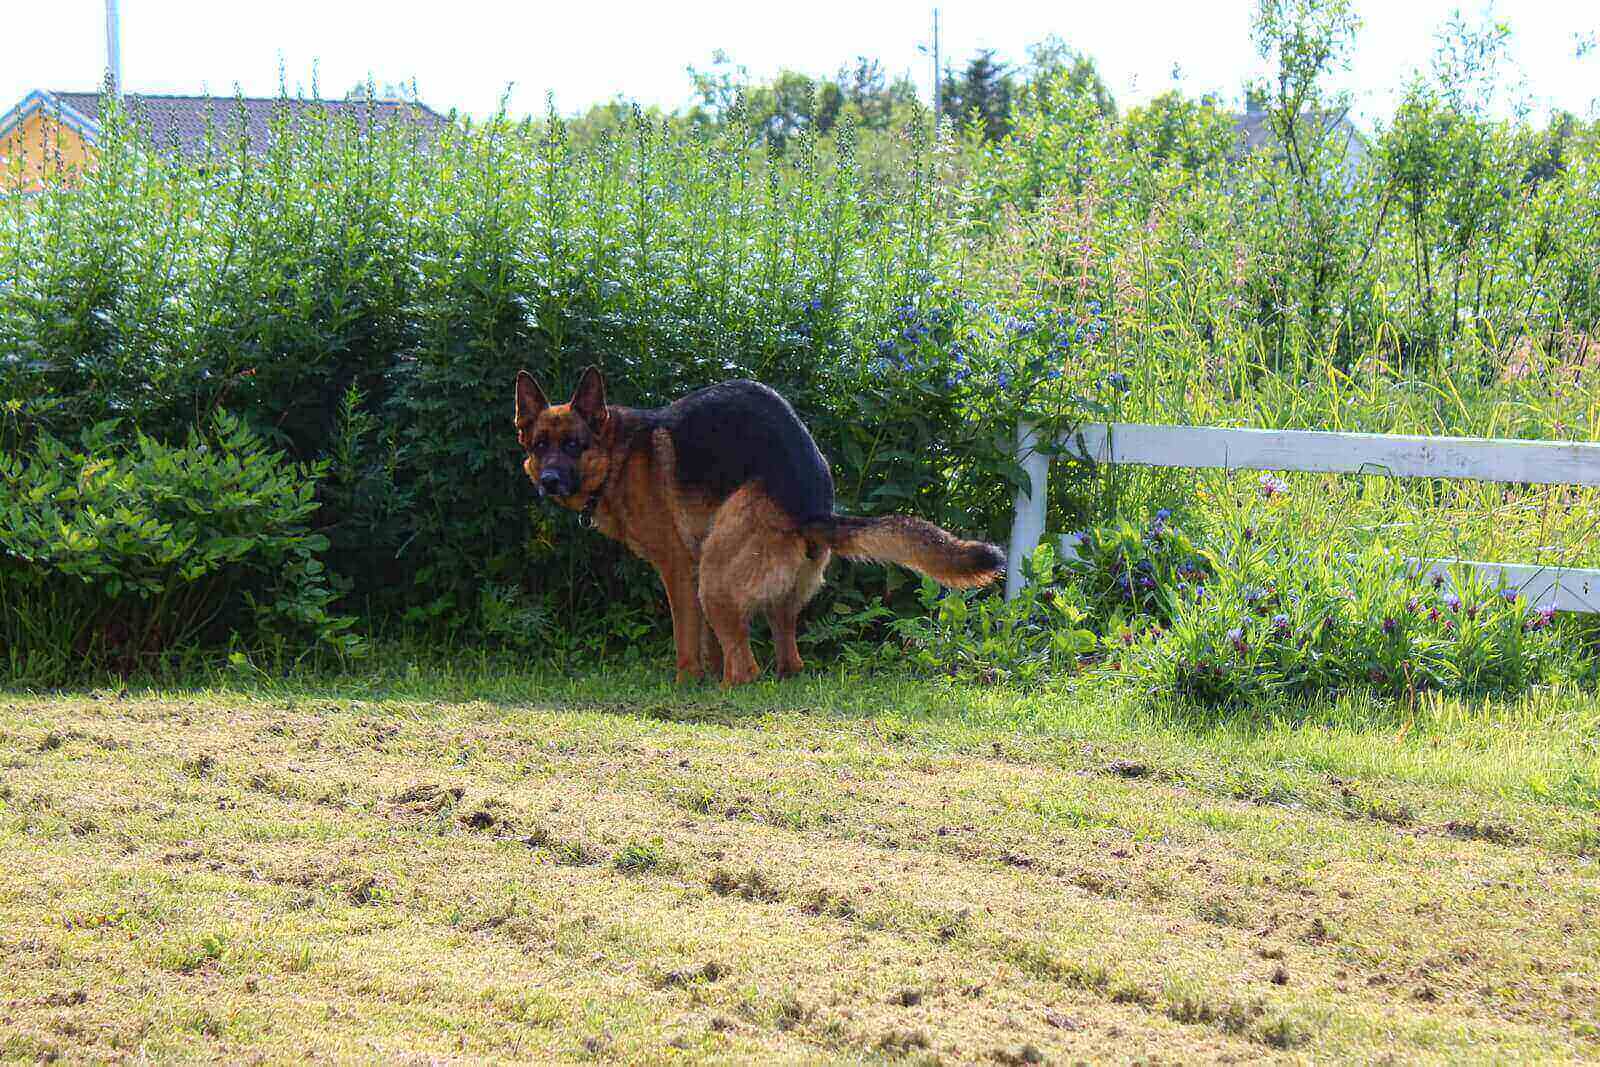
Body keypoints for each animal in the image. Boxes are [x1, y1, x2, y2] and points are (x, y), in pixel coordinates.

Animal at [518, 364, 1004, 684]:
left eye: (574, 445)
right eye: (540, 446)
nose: (549, 481)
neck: (618, 454)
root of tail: (811, 506)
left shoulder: (679, 570)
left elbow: (686, 640)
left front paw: (686, 681)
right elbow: (710, 645)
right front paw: (705, 673)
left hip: (714, 577)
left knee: (747, 669)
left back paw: (726, 689)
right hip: (769, 593)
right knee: (787, 658)